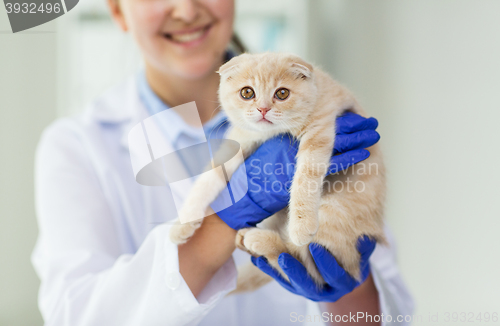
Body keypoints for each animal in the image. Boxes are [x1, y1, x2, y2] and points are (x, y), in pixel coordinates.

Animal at [170, 53, 384, 290]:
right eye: (247, 92)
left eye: (282, 93)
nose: (263, 109)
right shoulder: (238, 140)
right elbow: (208, 178)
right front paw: (182, 223)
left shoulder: (320, 129)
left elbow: (306, 177)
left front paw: (301, 224)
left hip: (334, 214)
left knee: (303, 265)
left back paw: (259, 240)